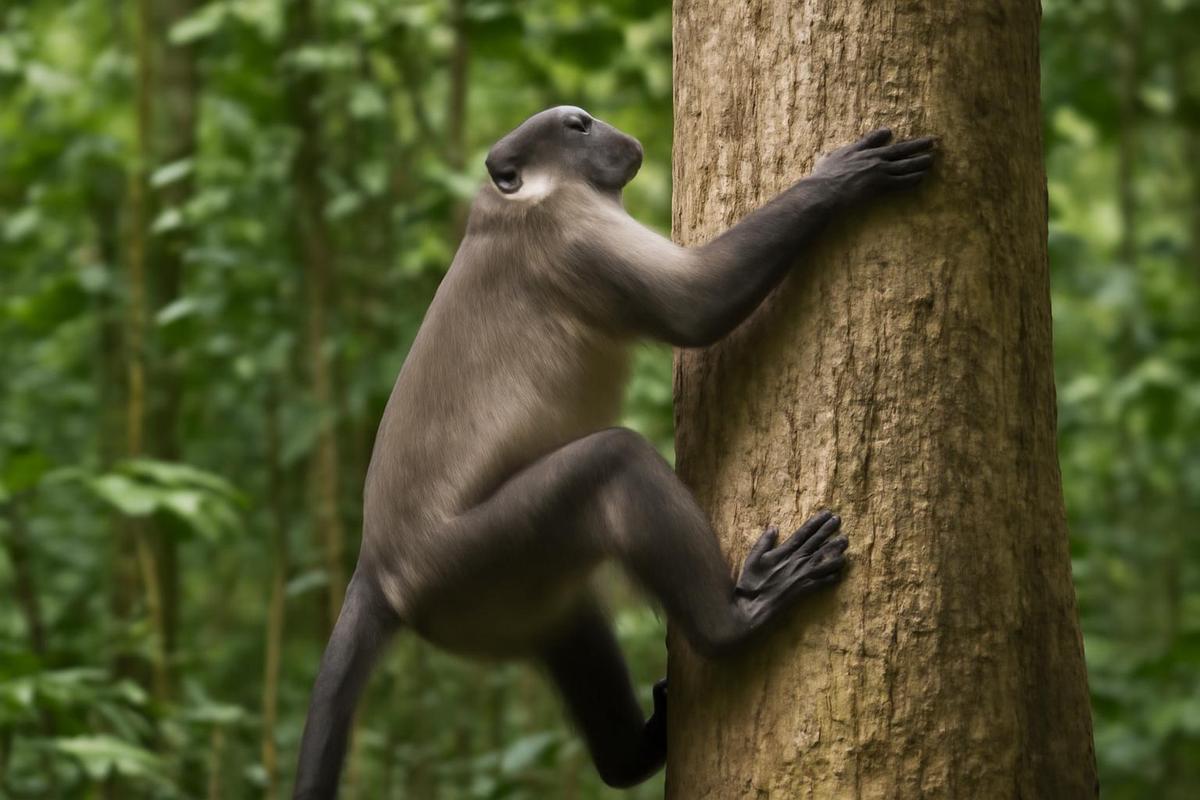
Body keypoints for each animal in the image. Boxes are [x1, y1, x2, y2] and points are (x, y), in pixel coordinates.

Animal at [292, 105, 935, 798]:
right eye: (577, 127)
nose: (613, 133)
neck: (510, 206)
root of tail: (376, 569)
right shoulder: (573, 236)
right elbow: (697, 305)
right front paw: (840, 179)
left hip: (510, 594)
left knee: (570, 630)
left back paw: (634, 750)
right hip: (472, 556)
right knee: (614, 462)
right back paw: (736, 618)